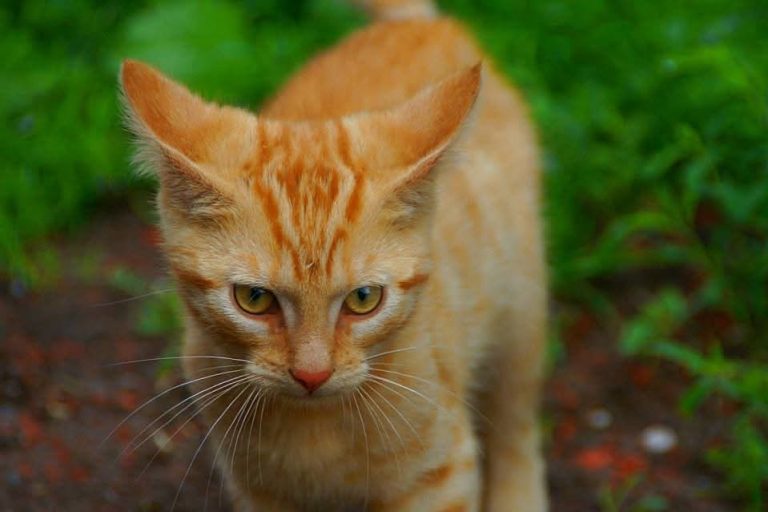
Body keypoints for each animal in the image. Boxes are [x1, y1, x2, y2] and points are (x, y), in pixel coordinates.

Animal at [120, 0, 544, 508]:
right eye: (254, 299)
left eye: (364, 299)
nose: (312, 375)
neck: (314, 430)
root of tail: (415, 24)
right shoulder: (258, 491)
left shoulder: (441, 477)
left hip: (520, 307)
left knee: (517, 417)